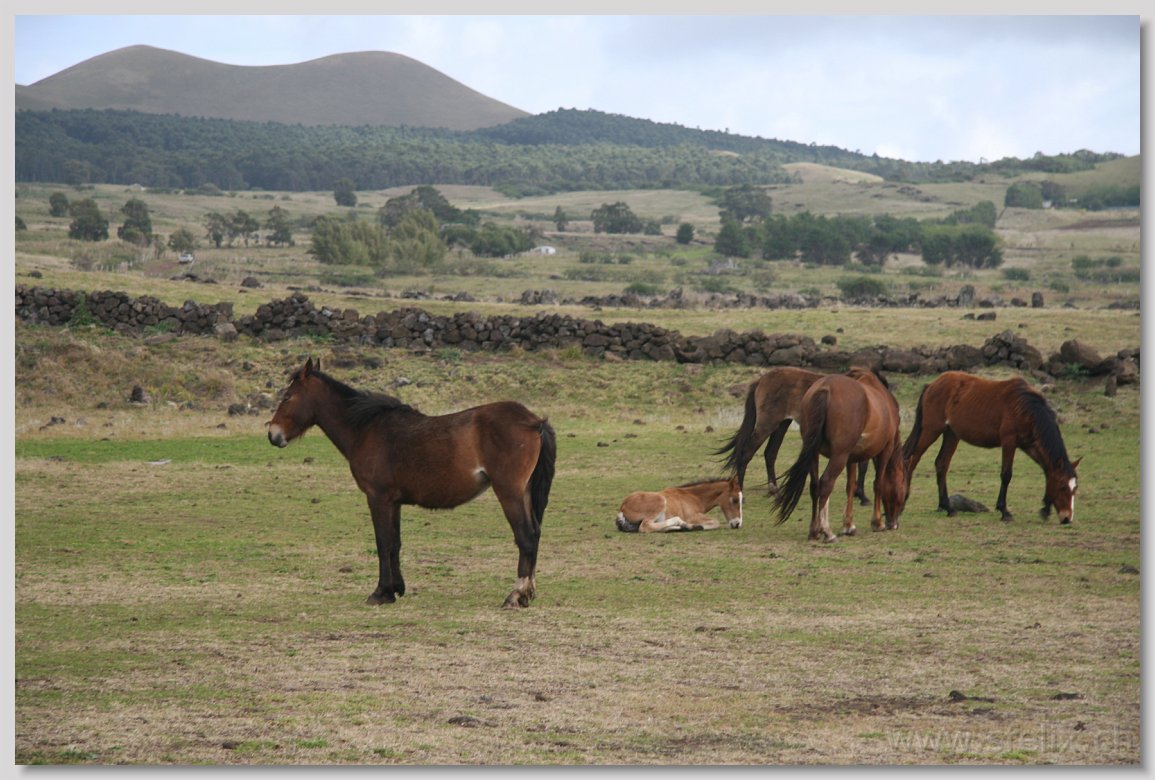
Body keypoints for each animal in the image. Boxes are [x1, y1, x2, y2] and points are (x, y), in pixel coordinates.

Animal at [267, 357, 556, 608]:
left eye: (288, 397)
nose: (272, 434)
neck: (366, 429)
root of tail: (534, 422)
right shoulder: (393, 502)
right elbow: (395, 543)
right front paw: (396, 588)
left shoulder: (378, 497)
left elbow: (383, 542)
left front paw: (381, 592)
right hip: (524, 492)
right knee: (535, 534)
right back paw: (527, 593)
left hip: (509, 492)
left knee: (526, 537)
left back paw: (515, 595)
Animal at [615, 477, 743, 533]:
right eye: (735, 500)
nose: (737, 524)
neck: (694, 497)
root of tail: (623, 506)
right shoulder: (692, 516)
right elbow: (716, 522)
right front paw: (696, 525)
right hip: (660, 501)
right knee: (646, 526)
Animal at [716, 367, 869, 504]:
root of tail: (761, 379)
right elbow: (863, 465)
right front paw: (862, 496)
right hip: (767, 424)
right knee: (746, 453)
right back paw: (742, 494)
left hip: (782, 424)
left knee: (770, 453)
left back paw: (776, 492)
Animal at [772, 368, 907, 542]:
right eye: (904, 490)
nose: (894, 523)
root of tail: (825, 388)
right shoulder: (885, 450)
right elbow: (879, 483)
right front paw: (877, 523)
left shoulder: (852, 458)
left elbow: (850, 486)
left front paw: (849, 525)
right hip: (838, 456)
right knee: (825, 483)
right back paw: (827, 532)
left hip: (814, 454)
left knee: (815, 486)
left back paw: (814, 530)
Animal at [901, 371, 1080, 524]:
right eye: (1063, 486)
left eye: (1074, 488)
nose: (1067, 518)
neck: (1025, 408)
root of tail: (931, 385)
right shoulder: (1009, 442)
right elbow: (1006, 475)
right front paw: (1004, 511)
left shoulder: (1030, 445)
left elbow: (1048, 472)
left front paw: (1045, 509)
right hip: (931, 430)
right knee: (912, 460)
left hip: (951, 434)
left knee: (941, 464)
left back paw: (948, 507)